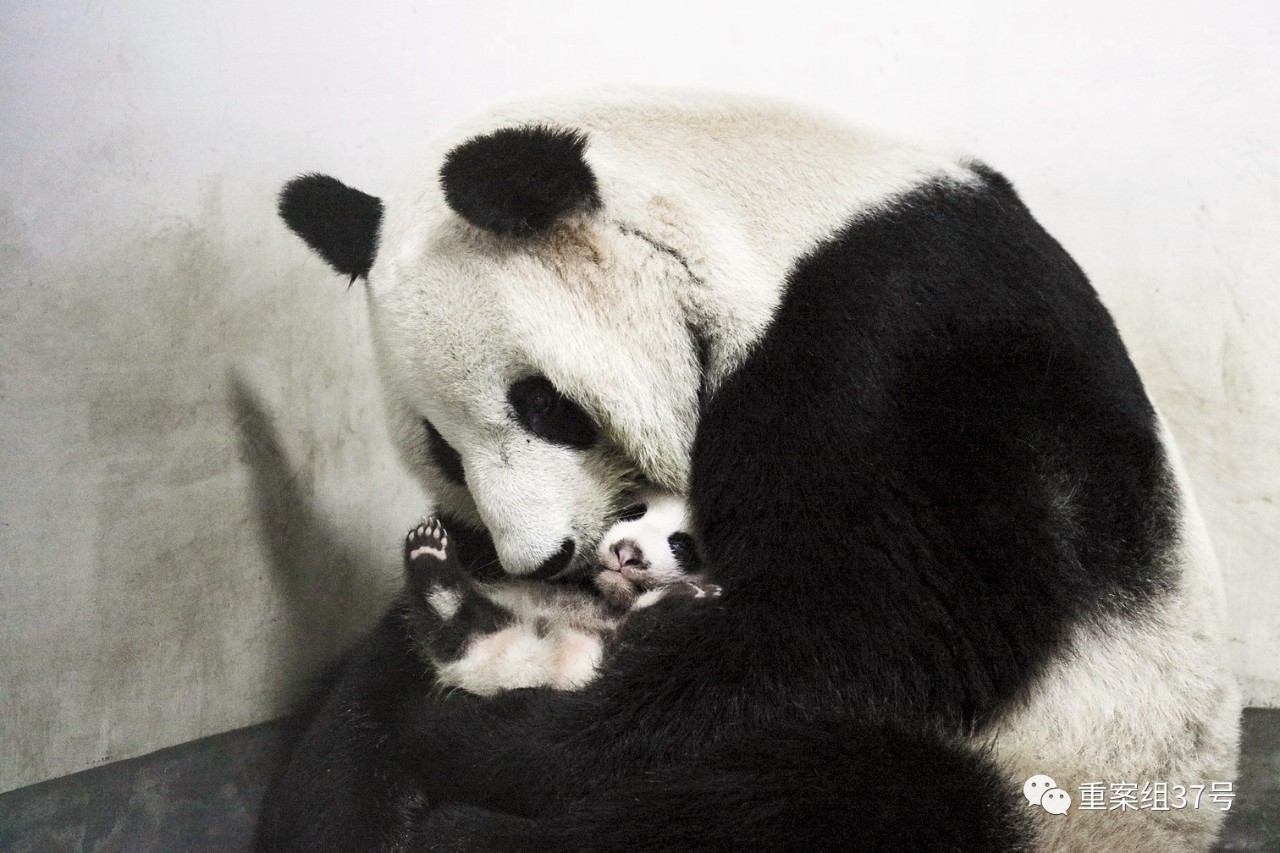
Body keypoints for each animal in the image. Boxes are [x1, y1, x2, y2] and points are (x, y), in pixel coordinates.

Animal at [259, 89, 1239, 845]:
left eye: (543, 403)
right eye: (441, 448)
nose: (540, 559)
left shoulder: (895, 344)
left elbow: (869, 623)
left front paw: (475, 740)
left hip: (1063, 770)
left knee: (835, 799)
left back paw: (470, 828)